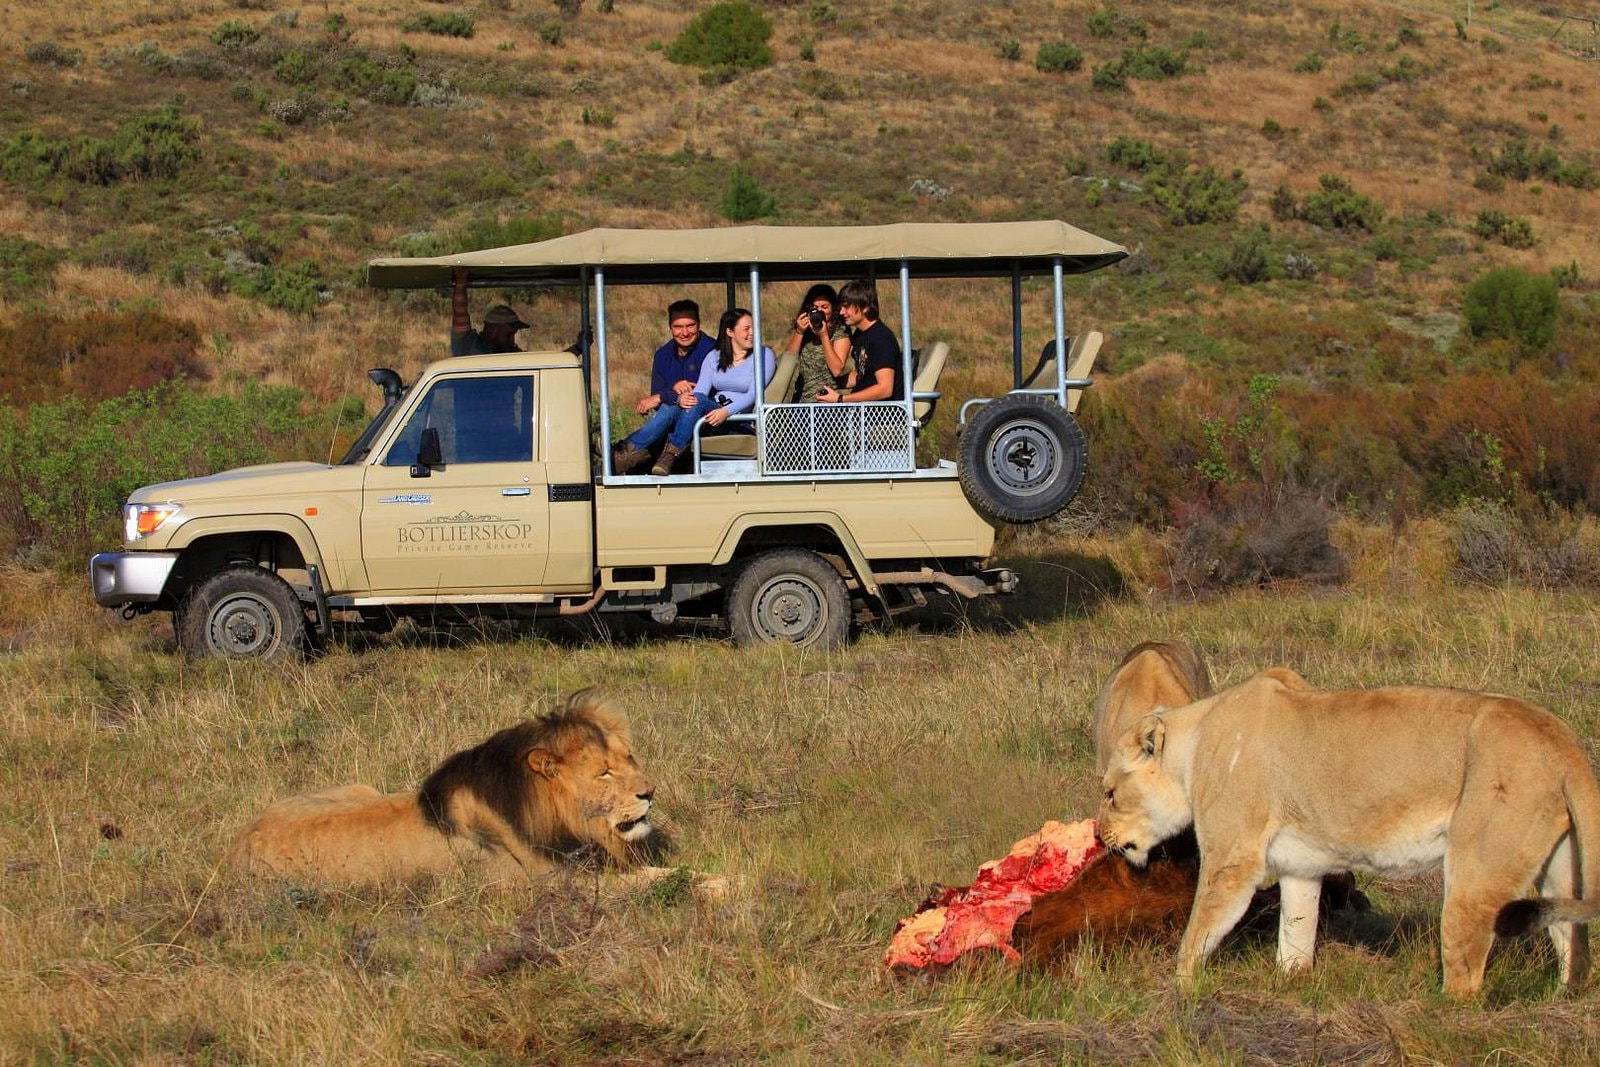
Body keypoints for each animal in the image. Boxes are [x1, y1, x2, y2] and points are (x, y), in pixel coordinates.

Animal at [228, 689, 662, 885]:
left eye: (628, 759)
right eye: (604, 773)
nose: (651, 792)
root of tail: (237, 843)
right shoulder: (546, 880)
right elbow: (652, 878)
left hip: (359, 787)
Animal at [1098, 670, 1600, 995]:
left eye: (1110, 793)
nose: (1100, 836)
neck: (1196, 741)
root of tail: (1565, 742)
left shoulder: (1233, 860)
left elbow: (1199, 929)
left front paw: (1178, 991)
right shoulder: (1299, 866)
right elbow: (1296, 930)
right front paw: (1291, 982)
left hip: (1476, 873)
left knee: (1467, 973)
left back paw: (1443, 1008)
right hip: (1558, 866)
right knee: (1571, 942)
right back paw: (1563, 998)